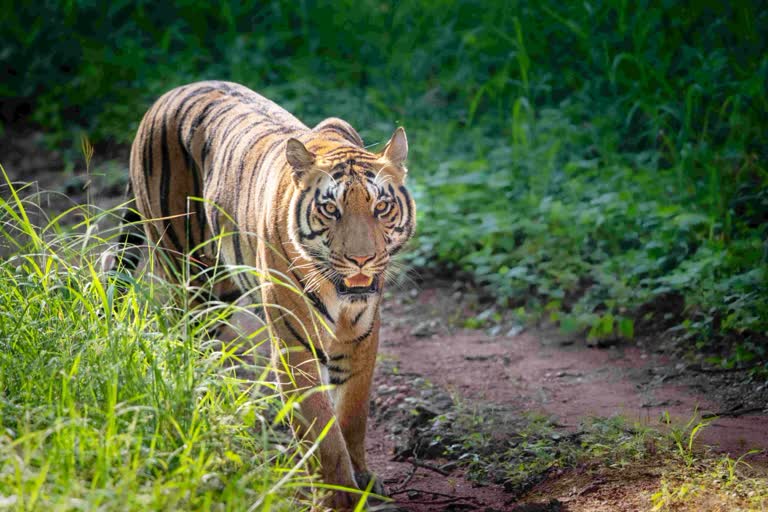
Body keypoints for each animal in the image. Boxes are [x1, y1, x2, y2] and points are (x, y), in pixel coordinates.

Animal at [111, 81, 415, 509]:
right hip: (189, 272)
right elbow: (321, 427)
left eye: (382, 207)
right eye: (331, 210)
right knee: (184, 340)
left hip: (218, 287)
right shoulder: (295, 345)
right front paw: (337, 494)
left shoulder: (360, 335)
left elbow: (352, 414)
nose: (362, 260)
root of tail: (166, 95)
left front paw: (362, 479)